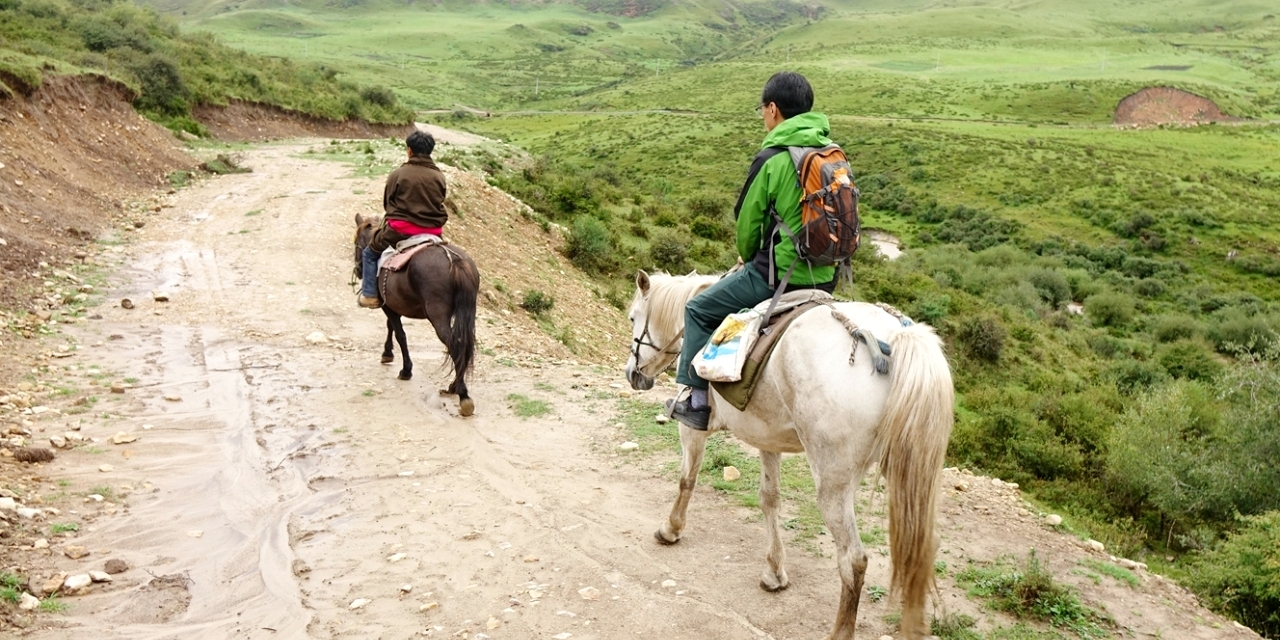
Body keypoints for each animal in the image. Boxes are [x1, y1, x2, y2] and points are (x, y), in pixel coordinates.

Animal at [355, 212, 481, 417]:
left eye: (357, 241)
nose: (359, 271)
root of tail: (455, 260)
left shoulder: (388, 306)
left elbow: (399, 334)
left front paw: (405, 369)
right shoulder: (393, 306)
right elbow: (392, 328)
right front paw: (388, 354)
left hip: (438, 316)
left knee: (454, 344)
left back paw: (463, 395)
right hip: (468, 311)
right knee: (463, 345)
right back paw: (454, 386)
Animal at [624, 270, 957, 640]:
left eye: (633, 318)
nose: (632, 374)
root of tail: (895, 337)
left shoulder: (693, 430)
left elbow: (687, 479)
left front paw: (671, 529)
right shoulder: (768, 440)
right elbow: (770, 499)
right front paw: (774, 572)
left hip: (834, 482)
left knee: (853, 559)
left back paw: (841, 632)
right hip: (910, 476)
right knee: (923, 549)